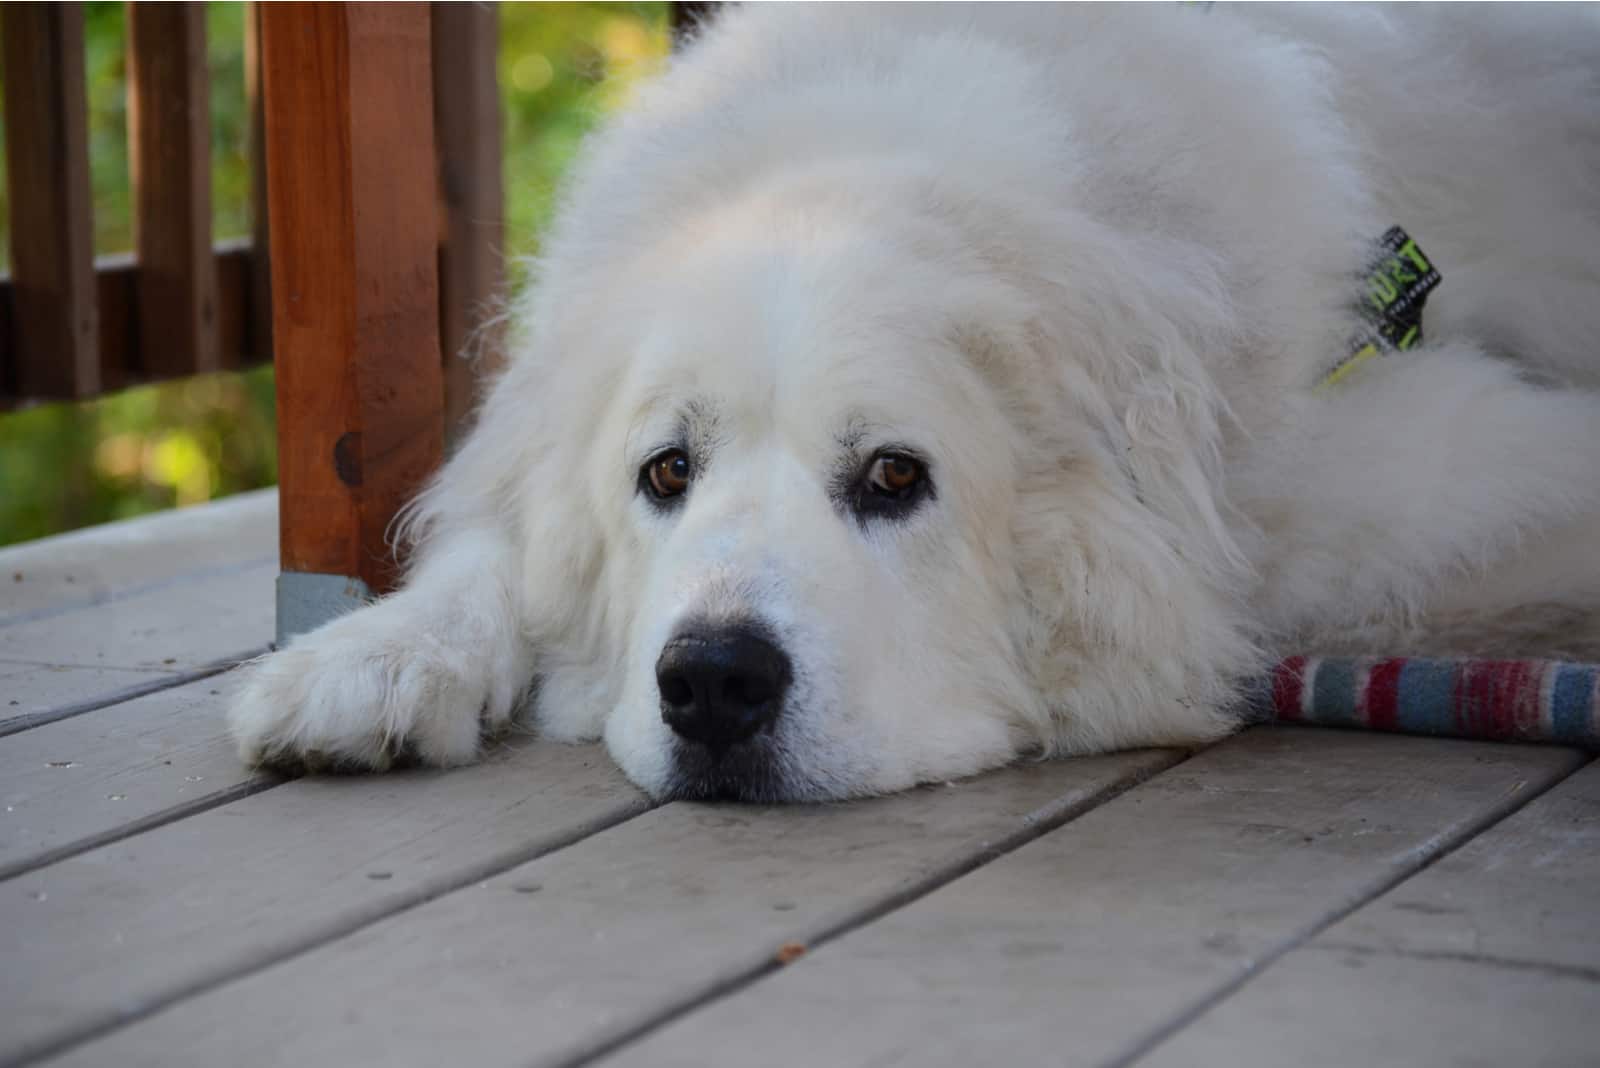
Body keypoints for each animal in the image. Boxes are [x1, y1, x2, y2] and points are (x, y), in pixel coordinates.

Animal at [228, 2, 1600, 799]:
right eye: (666, 472)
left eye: (895, 476)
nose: (712, 681)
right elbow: (496, 548)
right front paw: (373, 660)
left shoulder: (1417, 464)